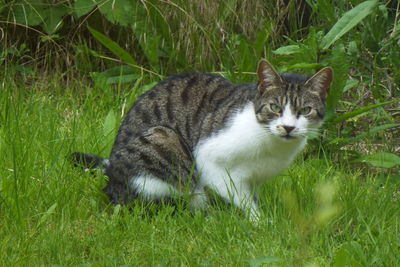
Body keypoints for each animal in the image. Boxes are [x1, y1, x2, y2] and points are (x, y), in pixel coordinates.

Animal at [72, 60, 334, 222]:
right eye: (275, 107)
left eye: (305, 110)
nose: (288, 127)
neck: (273, 146)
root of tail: (111, 178)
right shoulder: (212, 162)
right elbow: (241, 198)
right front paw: (260, 221)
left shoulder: (256, 177)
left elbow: (253, 194)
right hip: (163, 139)